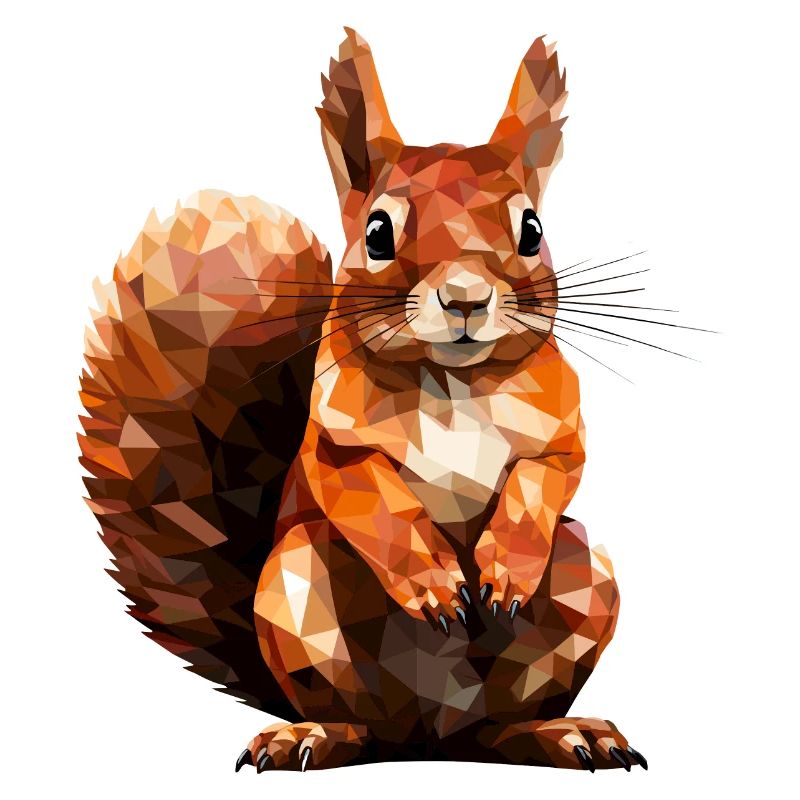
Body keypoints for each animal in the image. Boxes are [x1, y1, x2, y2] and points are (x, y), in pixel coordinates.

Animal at [79, 28, 647, 774]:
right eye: (377, 234)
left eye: (532, 230)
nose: (465, 298)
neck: (452, 383)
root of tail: (433, 738)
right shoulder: (332, 442)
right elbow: (372, 496)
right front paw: (434, 581)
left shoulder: (560, 431)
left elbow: (545, 479)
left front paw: (504, 568)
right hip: (295, 590)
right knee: (361, 724)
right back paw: (312, 734)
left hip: (588, 579)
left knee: (499, 728)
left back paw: (563, 731)